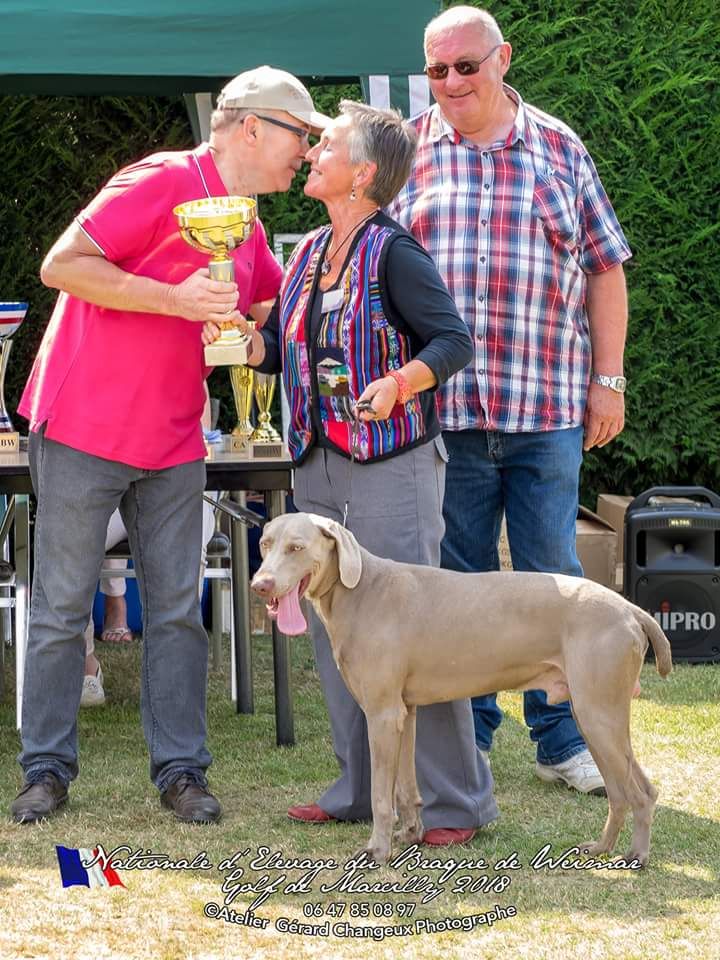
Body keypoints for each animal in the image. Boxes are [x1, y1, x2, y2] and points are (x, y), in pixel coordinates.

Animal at [250, 512, 672, 868]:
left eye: (297, 547)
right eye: (266, 544)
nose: (260, 585)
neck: (361, 590)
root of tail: (630, 609)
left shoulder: (382, 715)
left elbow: (381, 795)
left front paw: (378, 850)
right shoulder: (405, 712)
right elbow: (406, 787)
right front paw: (411, 834)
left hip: (599, 713)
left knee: (638, 792)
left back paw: (636, 856)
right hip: (593, 715)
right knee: (624, 791)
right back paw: (601, 848)